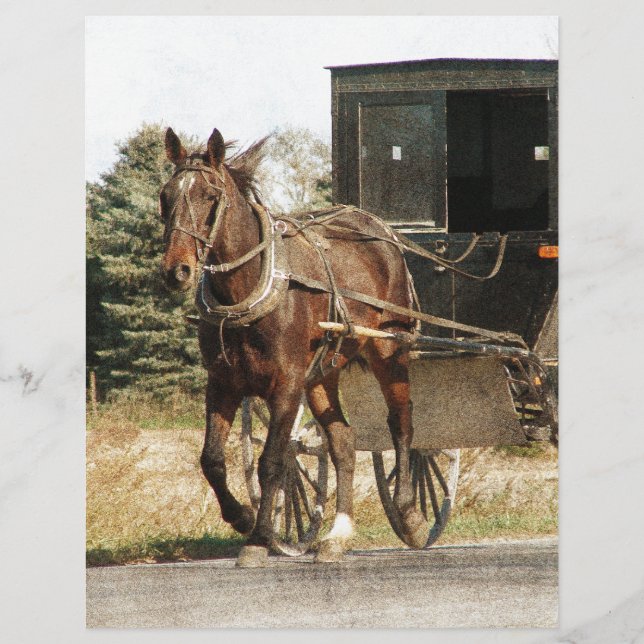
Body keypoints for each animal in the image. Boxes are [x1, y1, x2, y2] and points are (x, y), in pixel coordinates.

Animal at [159, 126, 427, 567]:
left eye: (209, 196)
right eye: (165, 195)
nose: (176, 270)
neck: (250, 287)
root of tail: (381, 232)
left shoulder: (286, 384)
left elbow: (272, 460)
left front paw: (259, 538)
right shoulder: (222, 384)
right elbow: (211, 460)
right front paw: (241, 516)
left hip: (390, 349)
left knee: (401, 421)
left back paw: (409, 512)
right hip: (322, 372)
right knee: (343, 442)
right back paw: (338, 535)